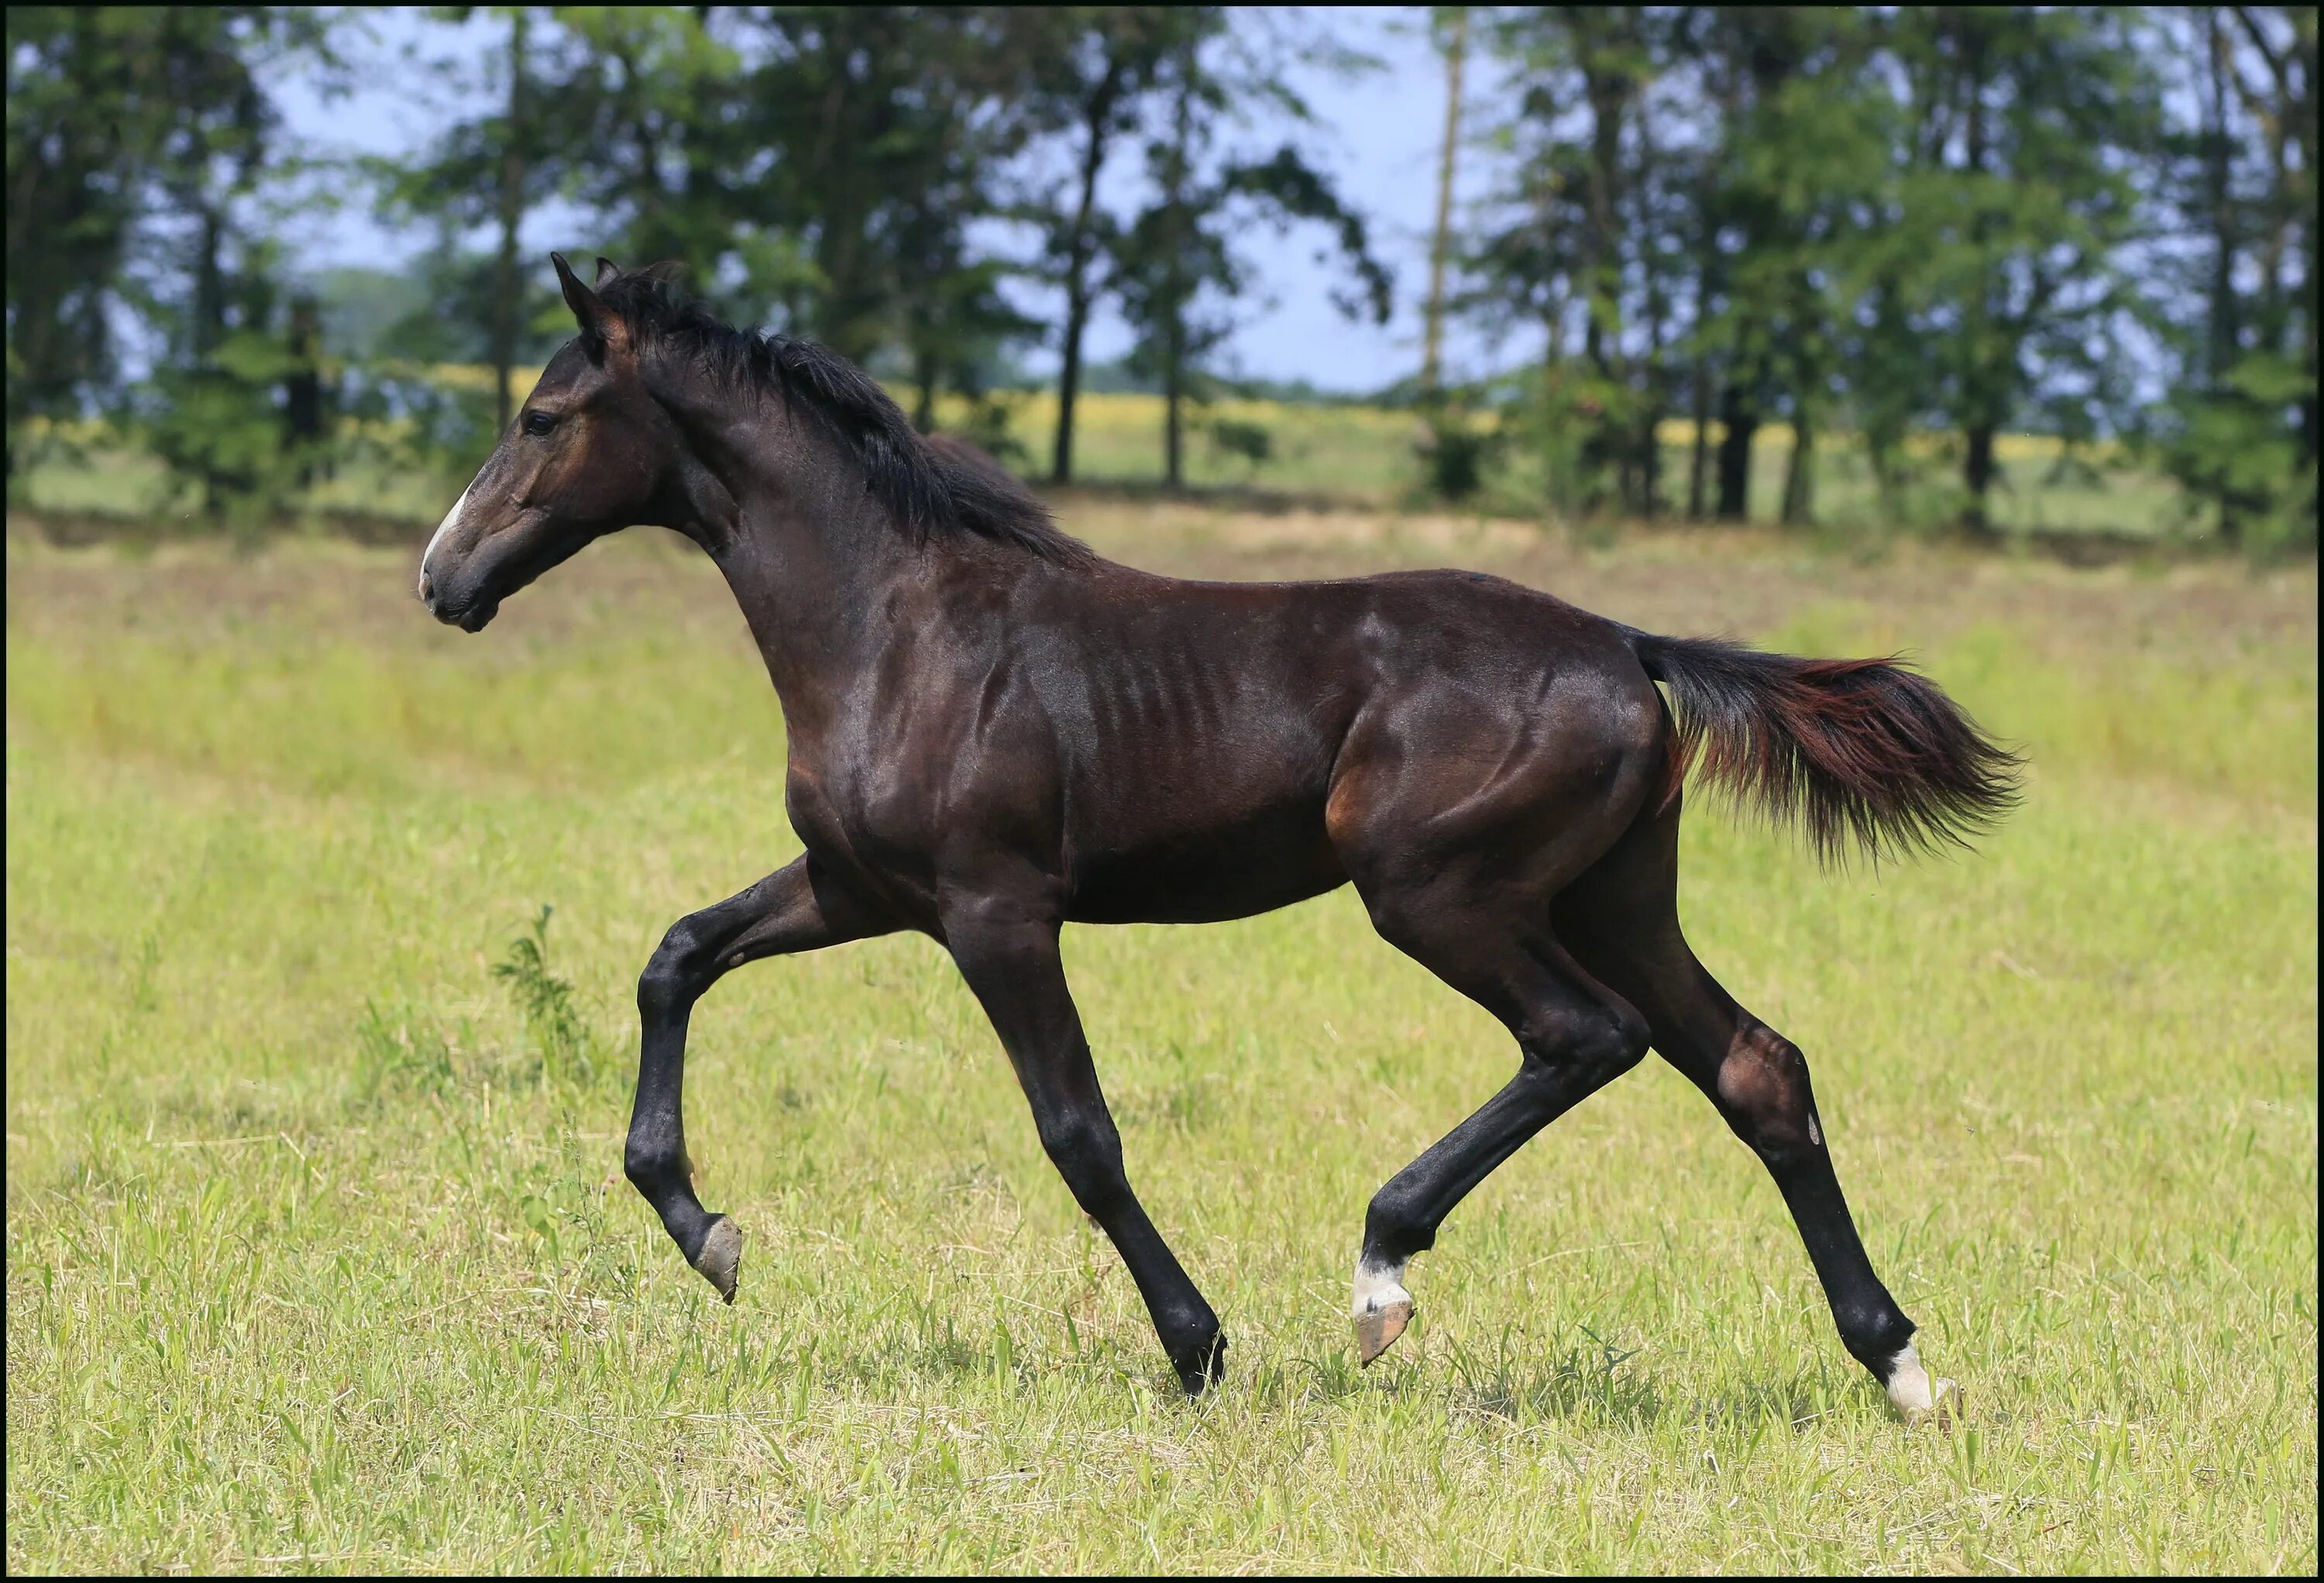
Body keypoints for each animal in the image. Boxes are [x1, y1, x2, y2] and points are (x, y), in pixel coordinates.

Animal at [418, 256, 2017, 1404]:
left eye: (541, 417)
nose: (444, 577)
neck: (892, 625)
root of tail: (1630, 645)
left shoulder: (996, 910)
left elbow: (1079, 1130)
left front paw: (1196, 1344)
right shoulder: (861, 884)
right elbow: (676, 954)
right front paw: (707, 1233)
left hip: (1440, 891)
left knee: (1586, 1037)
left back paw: (1381, 1273)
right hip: (1614, 896)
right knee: (1756, 1067)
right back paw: (1898, 1362)